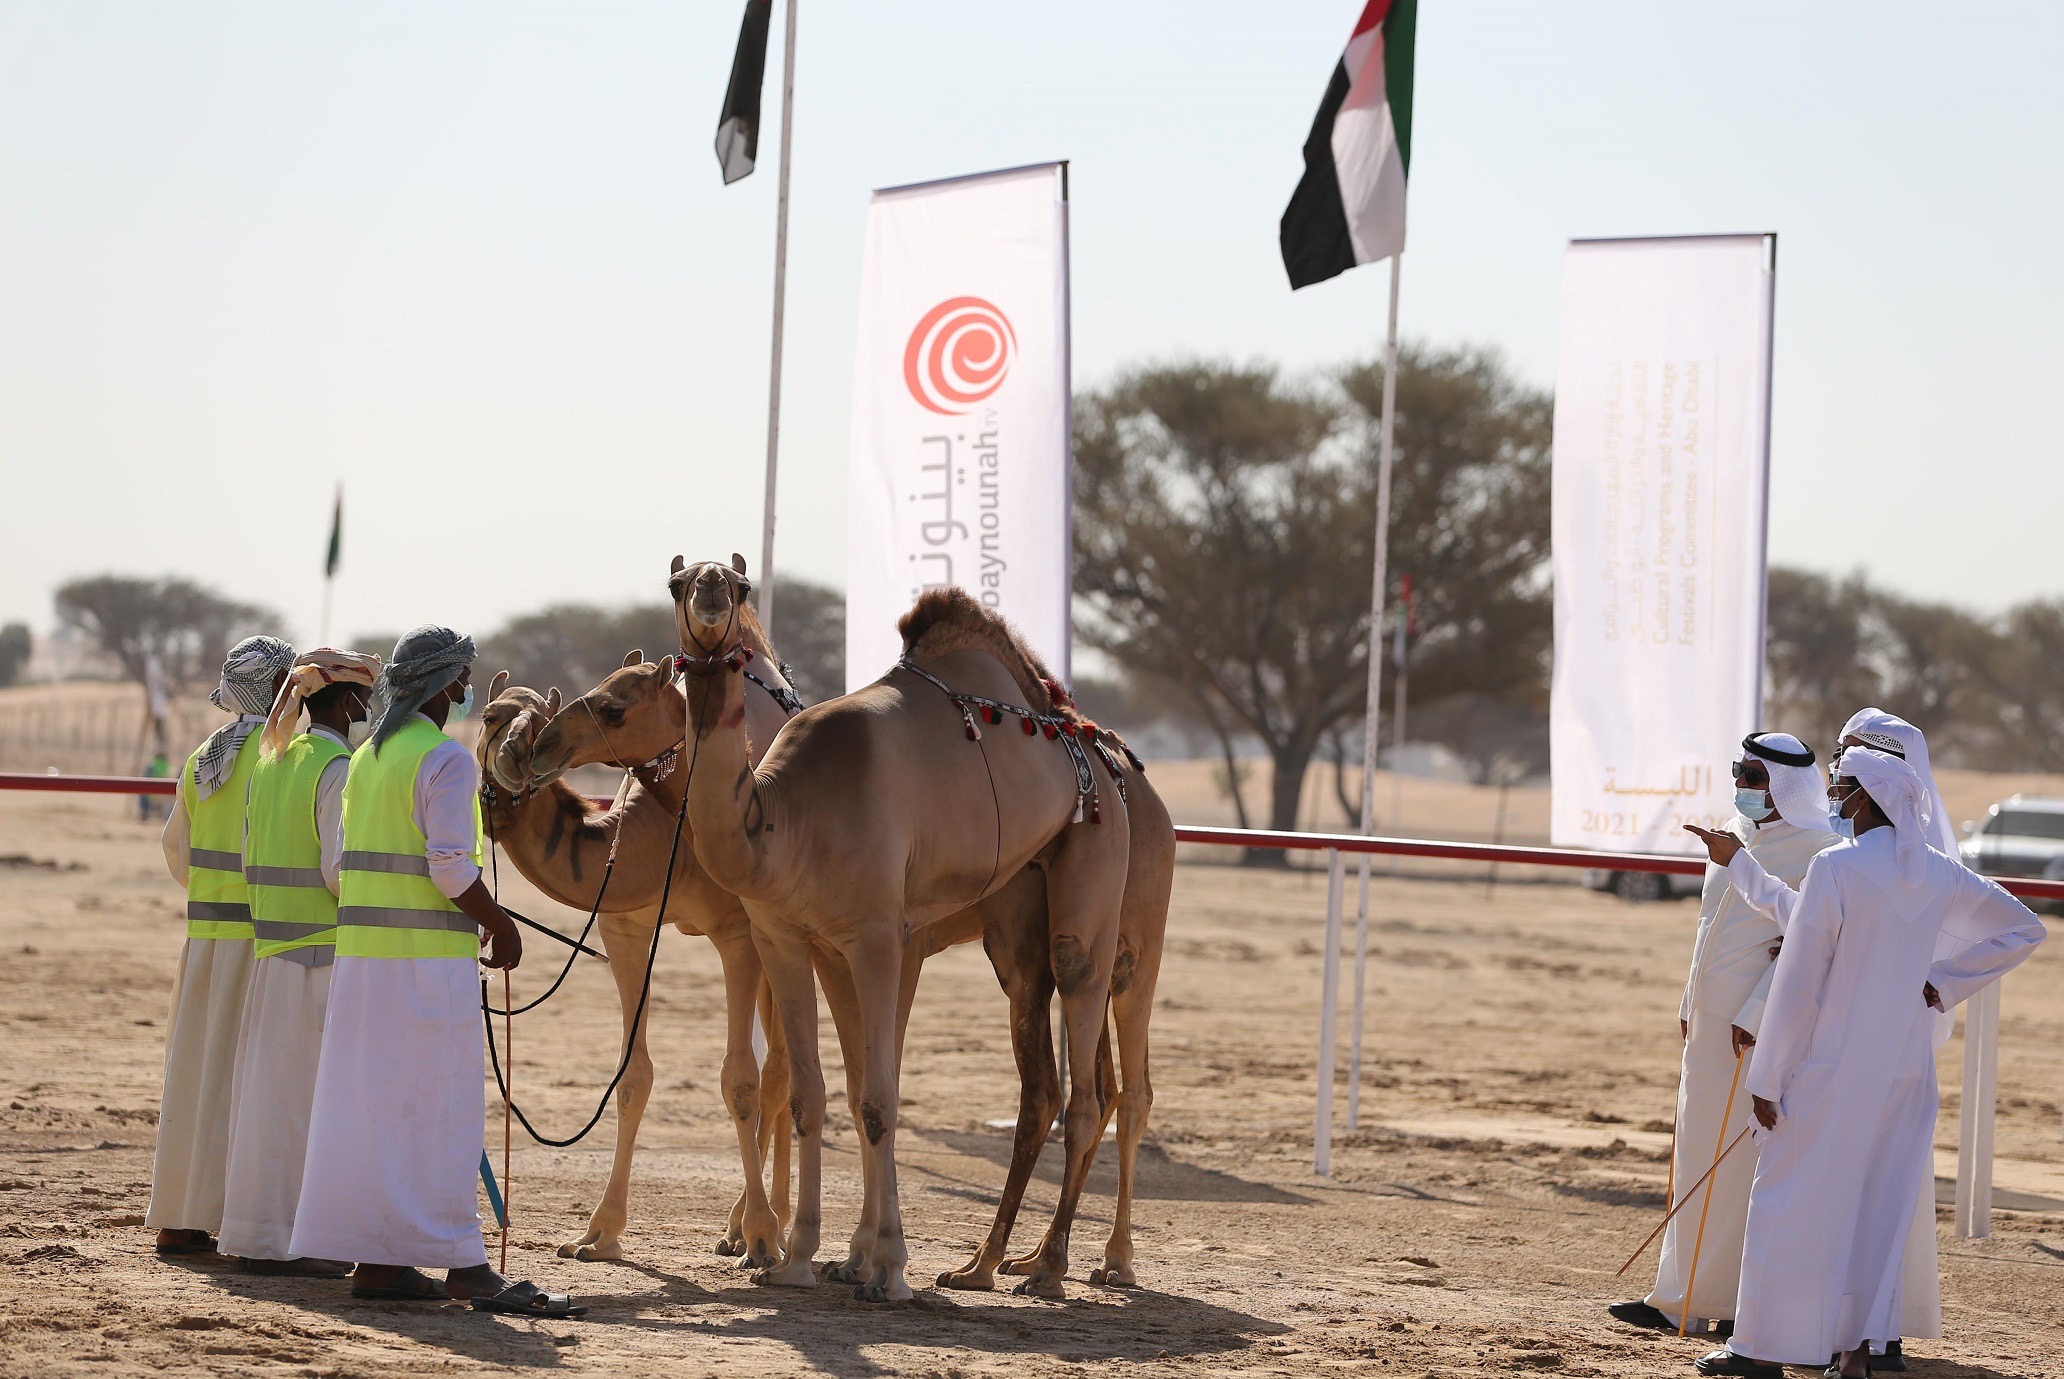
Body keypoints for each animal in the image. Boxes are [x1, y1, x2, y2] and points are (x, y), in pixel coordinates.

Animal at [472, 668, 796, 1271]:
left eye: (538, 714)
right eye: (490, 714)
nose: (529, 751)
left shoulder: (738, 934)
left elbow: (740, 1079)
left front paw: (763, 1237)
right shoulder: (623, 928)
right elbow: (632, 1075)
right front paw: (597, 1234)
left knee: (782, 1071)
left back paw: (762, 1226)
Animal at [672, 553, 1164, 1304]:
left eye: (739, 584)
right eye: (676, 584)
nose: (707, 591)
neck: (784, 816)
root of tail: (1093, 744)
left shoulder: (877, 935)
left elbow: (878, 1098)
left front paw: (887, 1269)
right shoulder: (792, 937)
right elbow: (818, 1094)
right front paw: (804, 1258)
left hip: (1103, 883)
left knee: (1099, 1084)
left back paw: (1063, 1267)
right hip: (1019, 923)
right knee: (1050, 1084)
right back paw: (988, 1263)